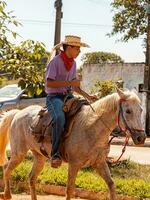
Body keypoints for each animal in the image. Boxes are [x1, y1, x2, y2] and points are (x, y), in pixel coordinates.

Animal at [0, 89, 146, 200]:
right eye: (128, 111)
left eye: (141, 110)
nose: (141, 138)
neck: (91, 127)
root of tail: (18, 113)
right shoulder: (74, 164)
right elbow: (69, 190)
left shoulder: (99, 163)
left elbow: (111, 185)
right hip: (19, 153)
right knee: (7, 168)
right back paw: (7, 194)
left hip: (39, 157)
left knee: (31, 178)